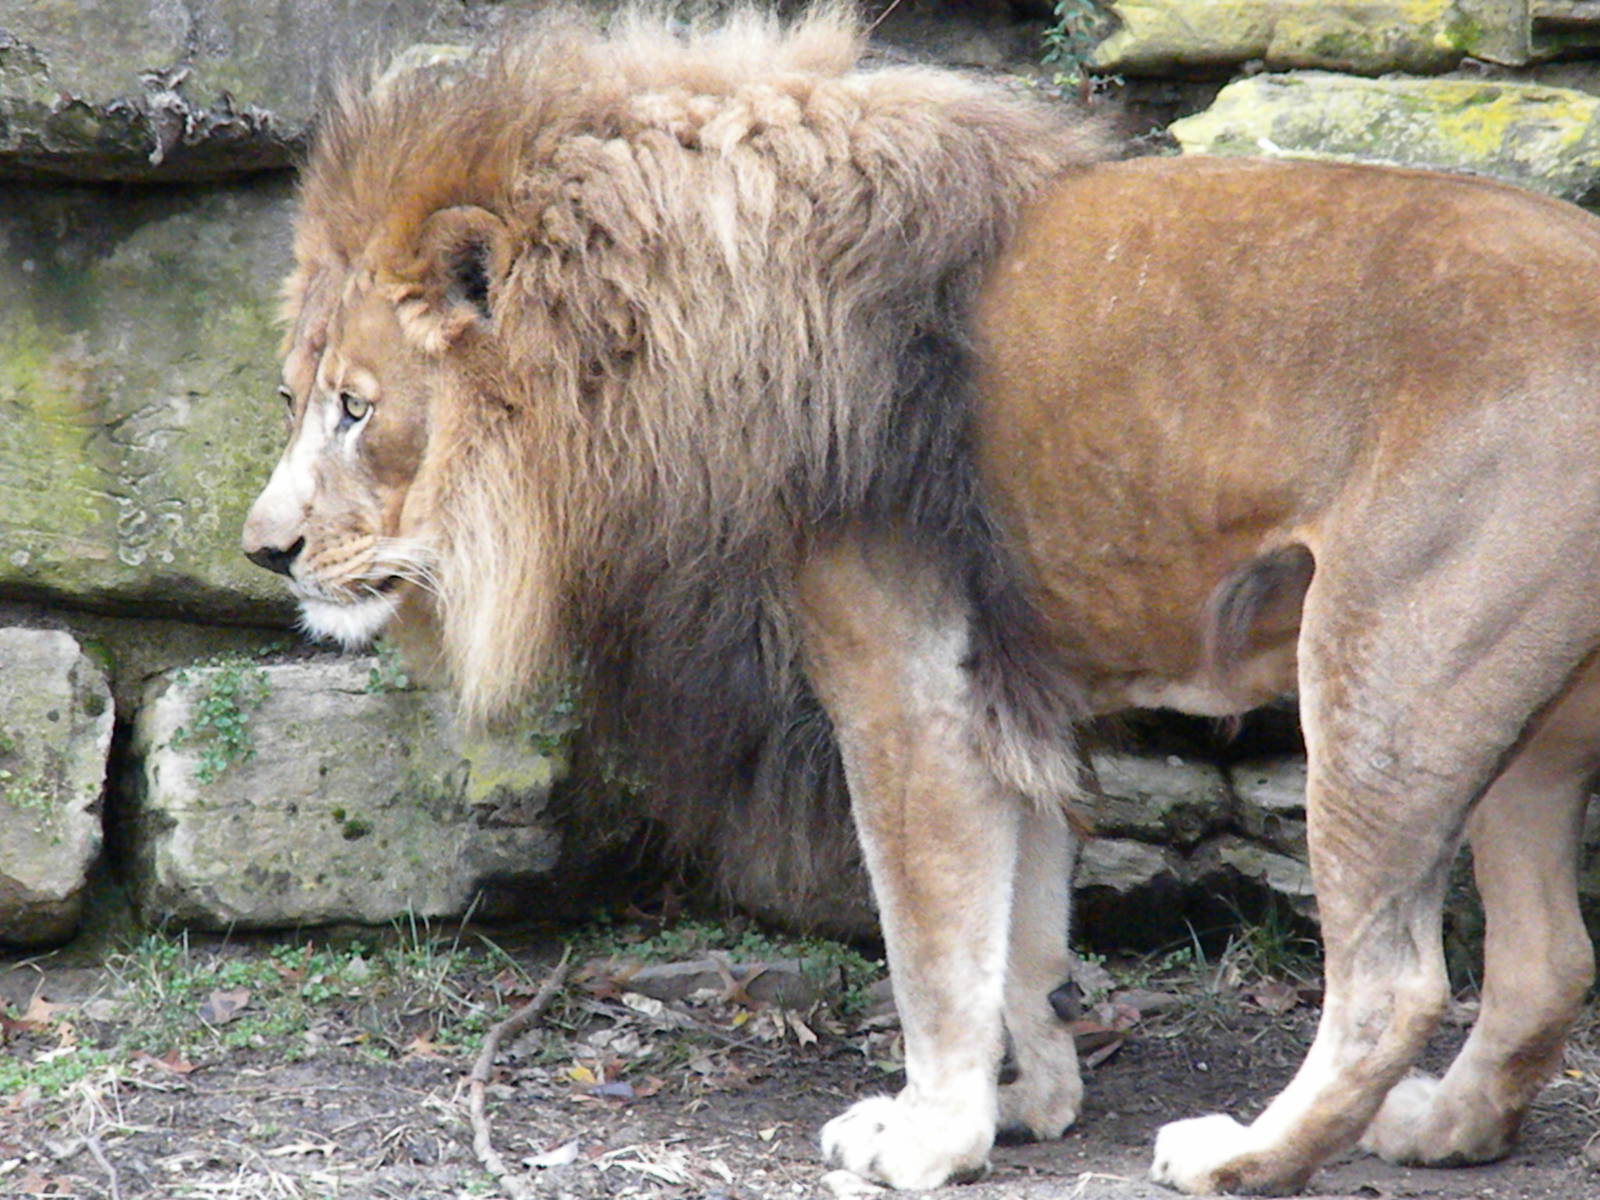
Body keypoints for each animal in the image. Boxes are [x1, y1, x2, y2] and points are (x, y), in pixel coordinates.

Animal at [241, 4, 1600, 1194]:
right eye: (293, 397)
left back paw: (1241, 1156)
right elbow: (1023, 933)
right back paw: (1443, 1128)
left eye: (358, 409)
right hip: (1519, 729)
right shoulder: (1010, 691)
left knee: (1393, 982)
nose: (265, 551)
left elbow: (931, 948)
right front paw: (1029, 1100)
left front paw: (931, 1136)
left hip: (1386, 675)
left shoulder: (906, 688)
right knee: (1545, 960)